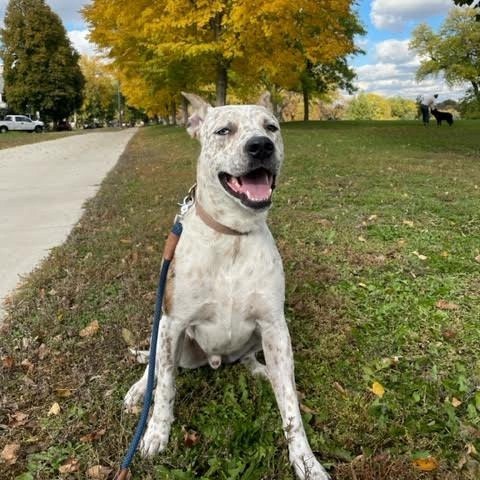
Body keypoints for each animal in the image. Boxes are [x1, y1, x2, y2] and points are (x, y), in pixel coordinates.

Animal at [124, 94, 330, 480]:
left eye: (271, 127)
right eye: (223, 130)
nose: (261, 146)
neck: (232, 234)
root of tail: (216, 360)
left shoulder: (274, 327)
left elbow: (290, 408)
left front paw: (306, 462)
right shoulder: (173, 324)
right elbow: (166, 388)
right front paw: (156, 433)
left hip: (258, 339)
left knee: (249, 358)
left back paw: (261, 371)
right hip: (168, 332)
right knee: (155, 365)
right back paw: (139, 389)